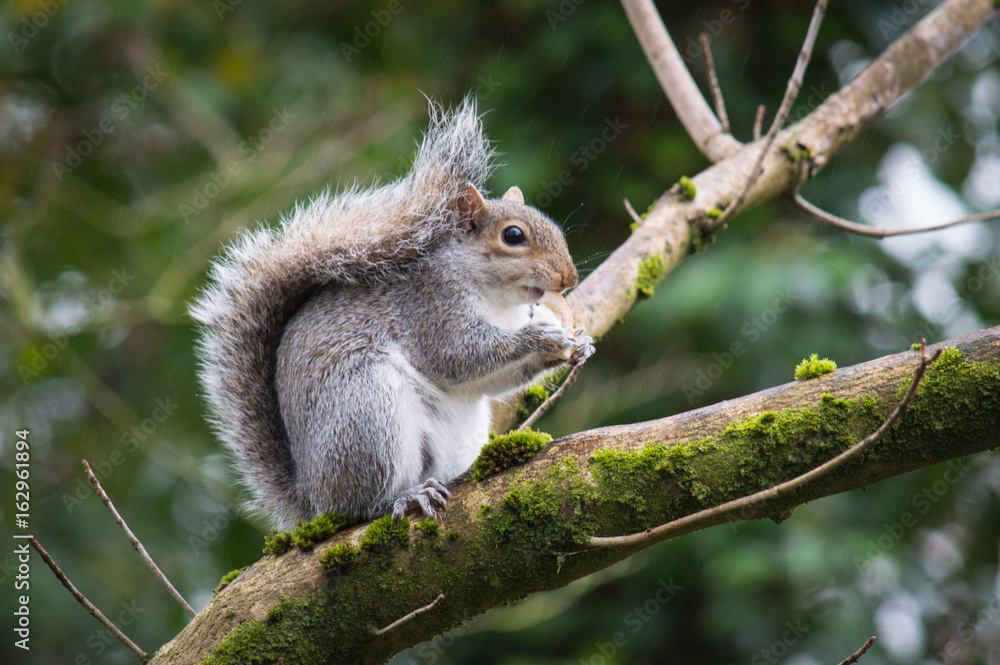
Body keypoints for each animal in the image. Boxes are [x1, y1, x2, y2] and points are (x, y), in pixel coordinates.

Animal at [191, 100, 594, 528]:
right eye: (513, 235)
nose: (570, 277)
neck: (498, 300)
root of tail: (312, 500)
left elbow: (492, 380)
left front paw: (577, 347)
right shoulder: (431, 308)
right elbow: (458, 358)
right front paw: (540, 337)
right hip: (367, 409)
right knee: (361, 507)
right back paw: (404, 497)